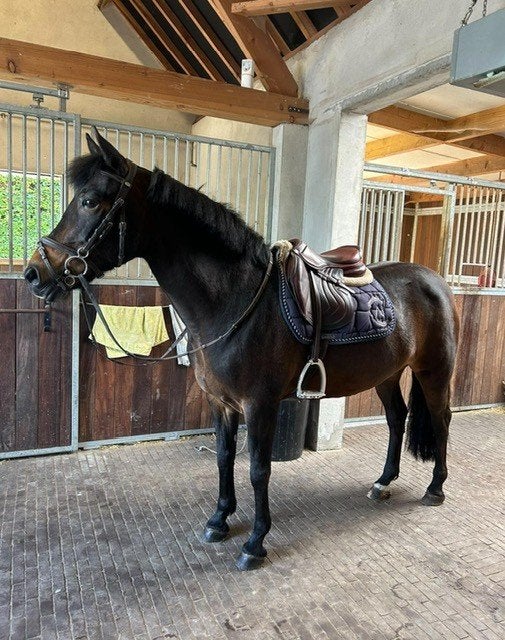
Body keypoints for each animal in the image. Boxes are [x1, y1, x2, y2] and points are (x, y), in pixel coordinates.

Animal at [24, 130, 459, 571]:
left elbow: (258, 470)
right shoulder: (222, 403)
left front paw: (255, 541)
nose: (34, 273)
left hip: (434, 370)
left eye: (90, 200)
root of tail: (434, 281)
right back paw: (383, 482)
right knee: (396, 418)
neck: (235, 299)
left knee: (441, 419)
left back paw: (436, 488)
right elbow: (223, 457)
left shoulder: (259, 404)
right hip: (388, 373)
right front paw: (219, 519)